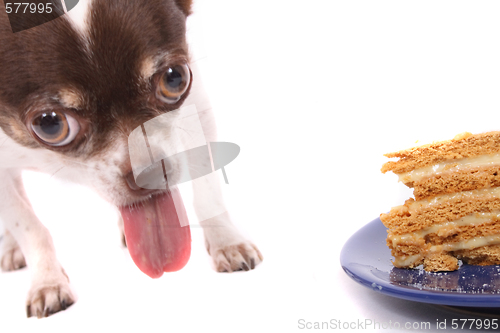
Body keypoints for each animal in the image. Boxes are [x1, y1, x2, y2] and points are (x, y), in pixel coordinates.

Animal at [0, 0, 264, 316]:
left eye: (174, 78)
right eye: (50, 124)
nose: (149, 172)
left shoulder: (197, 109)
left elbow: (208, 194)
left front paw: (227, 241)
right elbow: (28, 225)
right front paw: (47, 282)